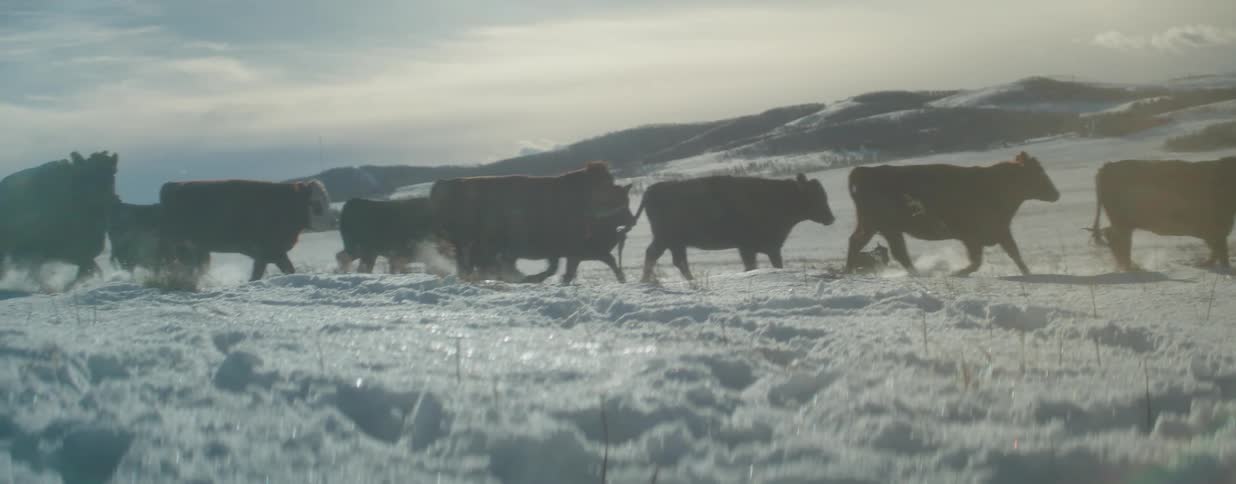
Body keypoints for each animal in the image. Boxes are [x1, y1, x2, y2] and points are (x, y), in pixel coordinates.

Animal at [158, 179, 331, 283]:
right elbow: (260, 273)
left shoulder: (273, 254)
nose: (332, 221)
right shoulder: (269, 252)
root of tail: (172, 185)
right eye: (316, 204)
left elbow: (286, 269)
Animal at [638, 174, 835, 282]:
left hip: (674, 242)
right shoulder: (747, 247)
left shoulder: (771, 248)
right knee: (659, 256)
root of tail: (650, 190)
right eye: (814, 196)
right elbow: (751, 266)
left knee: (673, 260)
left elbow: (775, 264)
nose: (830, 218)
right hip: (666, 239)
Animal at [844, 151, 1060, 277]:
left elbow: (1014, 253)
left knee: (867, 244)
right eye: (1037, 174)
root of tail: (863, 171)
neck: (996, 184)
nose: (1056, 194)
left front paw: (1028, 273)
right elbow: (977, 261)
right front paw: (957, 273)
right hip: (881, 226)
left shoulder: (1001, 231)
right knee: (882, 248)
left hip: (879, 227)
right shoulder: (973, 237)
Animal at [1088, 157, 1236, 271]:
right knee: (1118, 240)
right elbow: (1221, 252)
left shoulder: (1215, 230)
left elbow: (1217, 251)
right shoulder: (1217, 228)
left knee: (1114, 238)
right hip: (1121, 222)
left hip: (1123, 223)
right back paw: (1130, 267)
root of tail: (1107, 166)